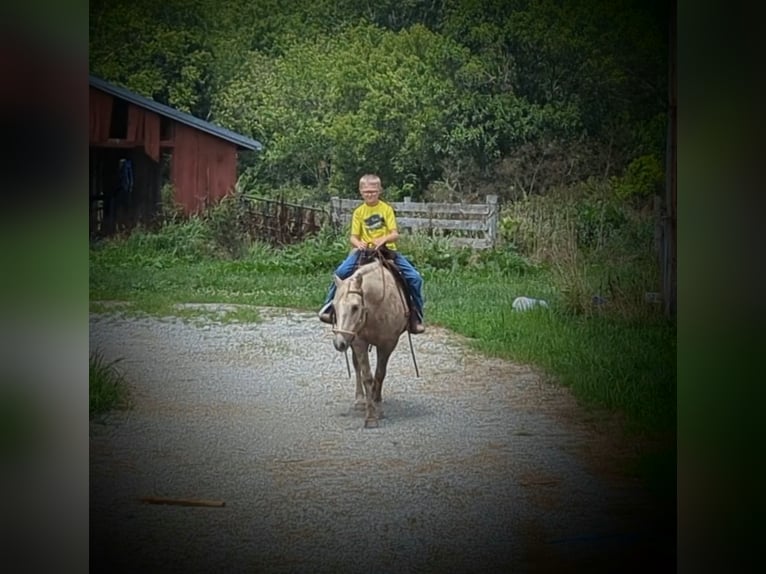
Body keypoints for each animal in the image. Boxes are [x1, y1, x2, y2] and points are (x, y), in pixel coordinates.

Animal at [332, 254, 412, 430]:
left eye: (355, 307)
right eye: (333, 306)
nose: (339, 343)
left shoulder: (388, 344)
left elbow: (380, 374)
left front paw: (378, 408)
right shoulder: (359, 342)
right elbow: (367, 376)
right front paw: (370, 417)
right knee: (357, 367)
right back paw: (360, 401)